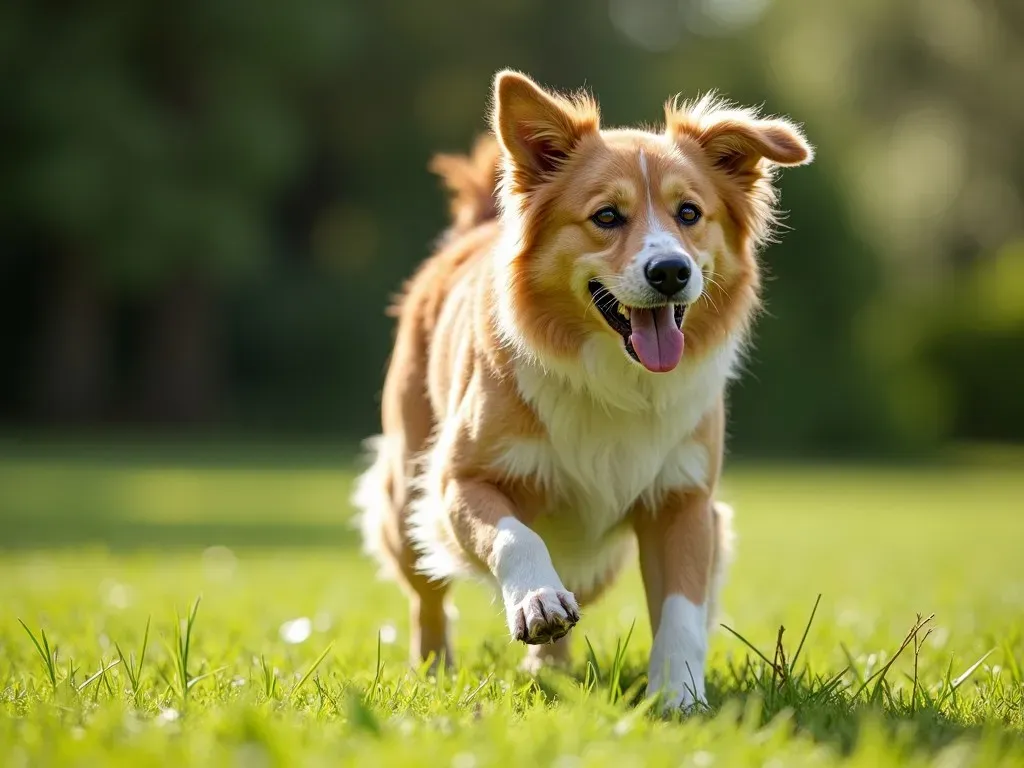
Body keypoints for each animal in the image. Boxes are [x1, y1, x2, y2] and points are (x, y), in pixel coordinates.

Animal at [356, 70, 811, 708]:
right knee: (428, 595)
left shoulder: (684, 499)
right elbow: (514, 538)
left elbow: (683, 608)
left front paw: (680, 696)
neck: (618, 377)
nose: (671, 271)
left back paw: (548, 666)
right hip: (405, 496)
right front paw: (535, 598)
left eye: (689, 212)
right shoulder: (459, 480)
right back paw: (435, 668)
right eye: (607, 217)